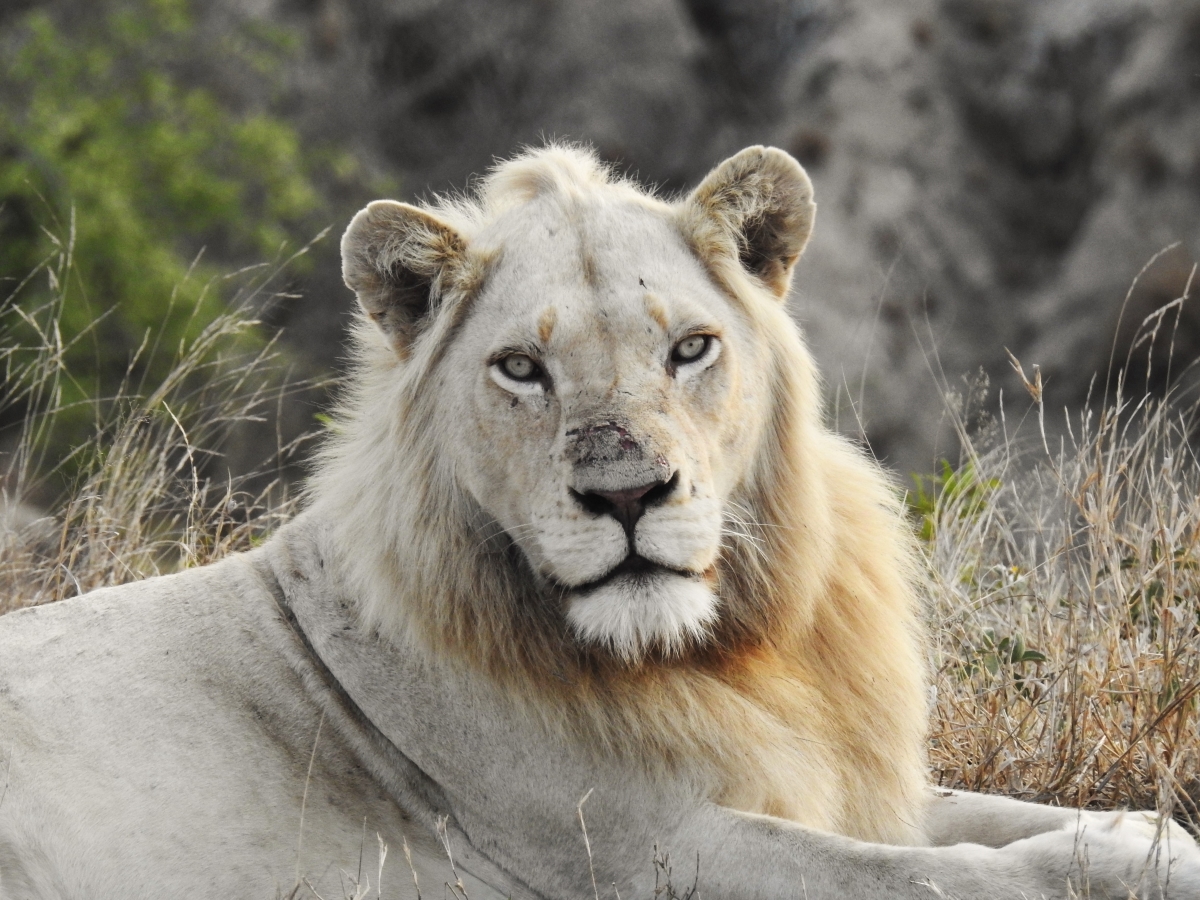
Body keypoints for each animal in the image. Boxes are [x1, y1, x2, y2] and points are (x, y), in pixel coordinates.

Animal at [2, 144, 1200, 897]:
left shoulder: (847, 784)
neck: (721, 651)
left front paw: (1149, 844)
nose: (626, 495)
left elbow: (985, 816)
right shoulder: (626, 850)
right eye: (521, 369)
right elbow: (919, 875)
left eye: (690, 349)